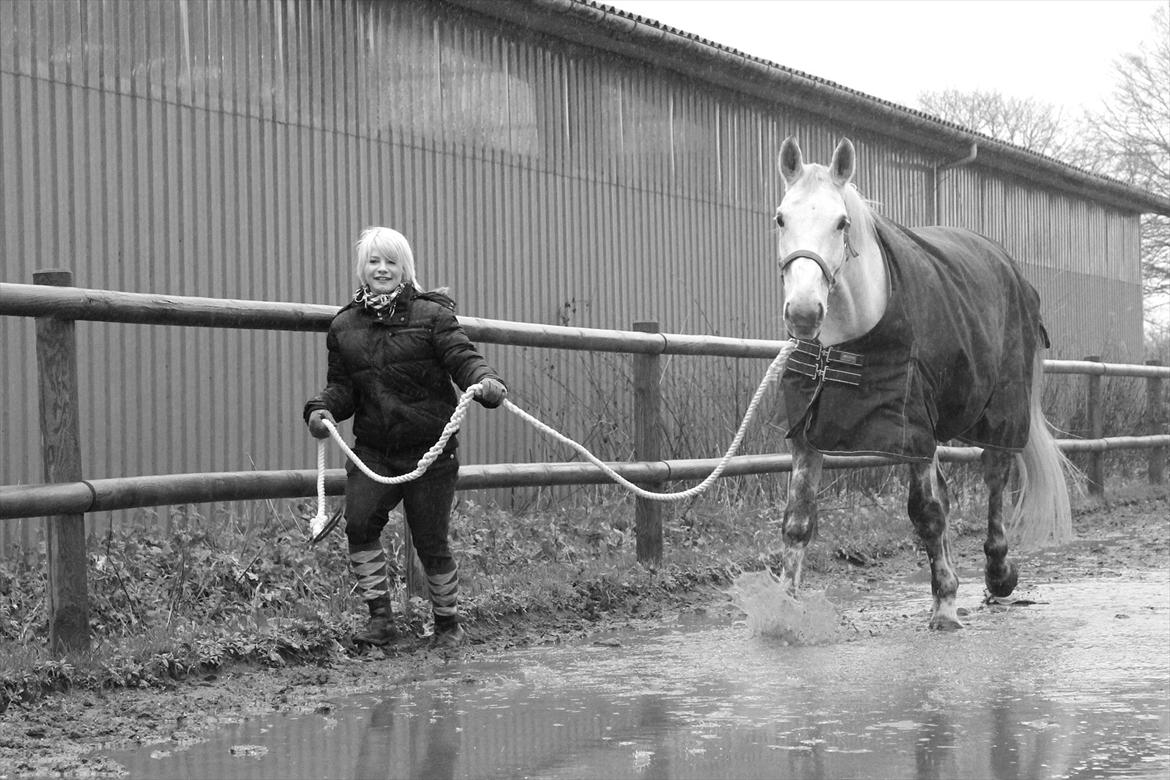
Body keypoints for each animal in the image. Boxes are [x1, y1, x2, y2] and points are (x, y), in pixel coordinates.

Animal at [772, 138, 1071, 626]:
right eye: (781, 217)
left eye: (841, 222)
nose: (803, 312)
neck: (847, 344)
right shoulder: (808, 434)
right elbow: (798, 521)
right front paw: (784, 609)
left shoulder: (914, 433)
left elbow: (927, 513)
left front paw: (946, 606)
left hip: (1001, 409)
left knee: (995, 476)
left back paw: (998, 574)